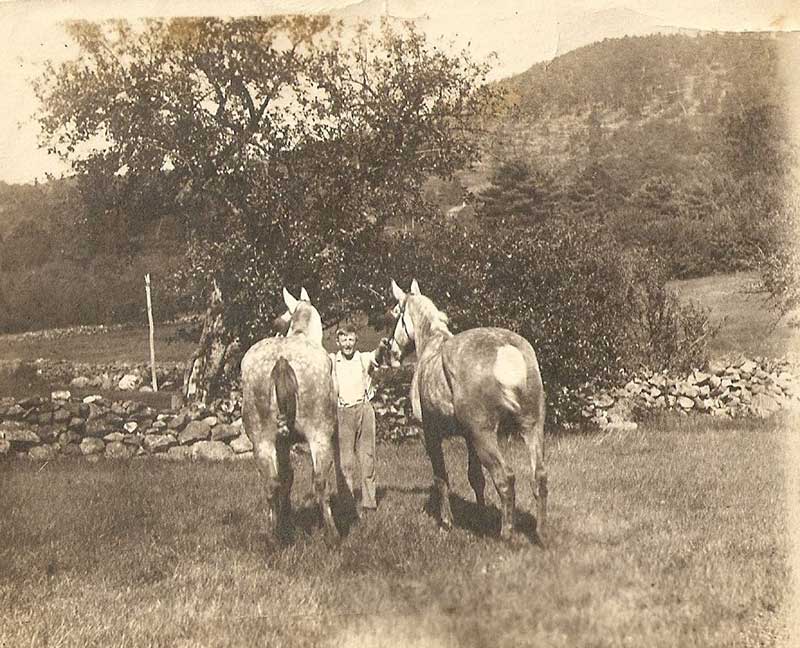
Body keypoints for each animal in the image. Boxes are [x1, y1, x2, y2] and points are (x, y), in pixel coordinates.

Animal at [238, 288, 338, 548]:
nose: (275, 322)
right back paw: (332, 535)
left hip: (262, 441)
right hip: (320, 436)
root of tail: (282, 359)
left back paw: (275, 536)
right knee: (320, 482)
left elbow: (286, 478)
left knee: (271, 483)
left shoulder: (281, 443)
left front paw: (284, 518)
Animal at [388, 280, 552, 540]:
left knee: (505, 478)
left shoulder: (431, 434)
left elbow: (441, 477)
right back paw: (542, 534)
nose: (392, 352)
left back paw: (506, 534)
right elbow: (476, 478)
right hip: (531, 427)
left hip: (484, 436)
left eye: (396, 313)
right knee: (539, 477)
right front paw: (481, 517)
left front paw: (446, 521)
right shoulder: (467, 438)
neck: (432, 342)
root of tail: (507, 350)